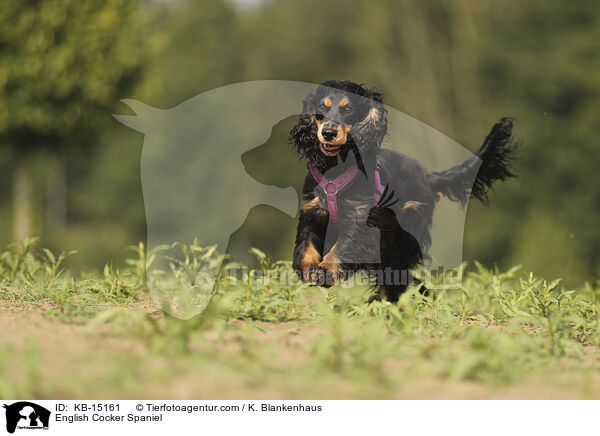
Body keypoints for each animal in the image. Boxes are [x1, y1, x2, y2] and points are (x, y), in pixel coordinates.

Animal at [290, 80, 516, 302]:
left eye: (348, 109)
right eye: (322, 108)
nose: (328, 133)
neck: (335, 168)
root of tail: (427, 177)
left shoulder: (360, 219)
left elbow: (343, 247)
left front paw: (326, 271)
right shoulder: (313, 213)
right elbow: (305, 246)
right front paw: (309, 270)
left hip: (401, 235)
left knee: (398, 276)